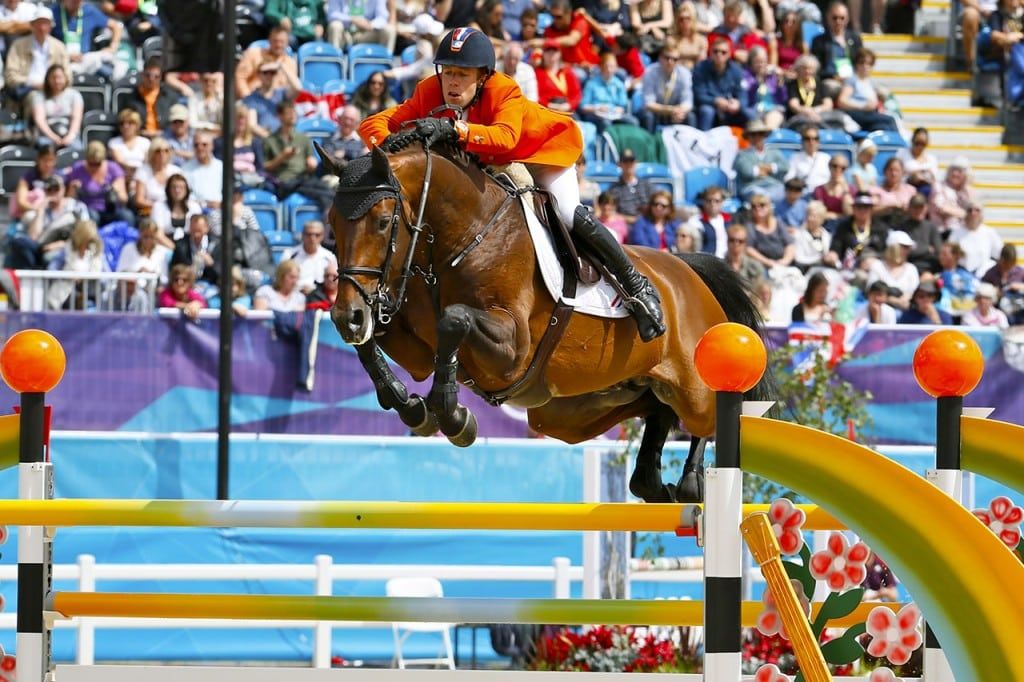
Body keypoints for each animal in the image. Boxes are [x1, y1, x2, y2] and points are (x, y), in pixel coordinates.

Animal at [317, 137, 772, 503]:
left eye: (382, 222)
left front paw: (451, 414)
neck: (464, 237)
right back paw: (656, 485)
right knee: (656, 411)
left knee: (708, 416)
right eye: (332, 225)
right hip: (582, 409)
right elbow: (376, 344)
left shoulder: (512, 348)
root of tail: (689, 270)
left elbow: (454, 319)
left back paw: (692, 481)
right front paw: (411, 405)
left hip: (692, 388)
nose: (347, 316)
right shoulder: (416, 350)